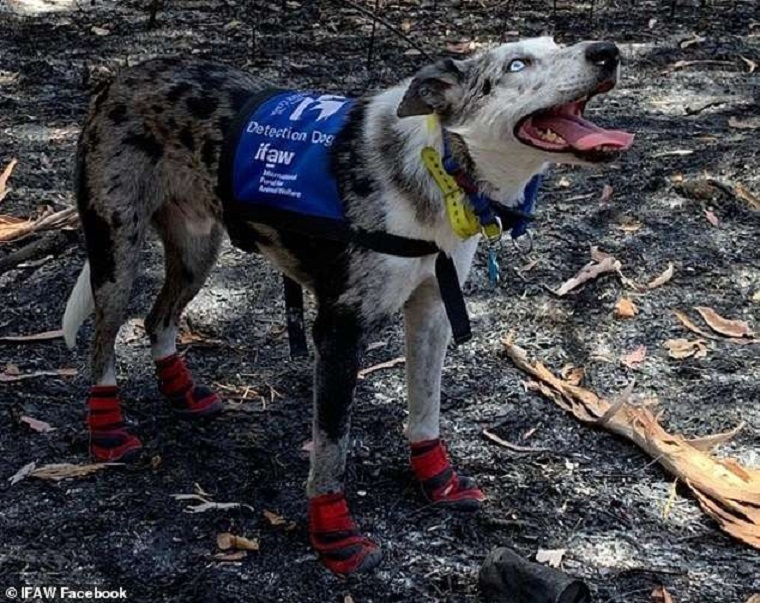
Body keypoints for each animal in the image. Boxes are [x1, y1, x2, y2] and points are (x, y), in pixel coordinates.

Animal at [62, 37, 633, 575]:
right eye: (517, 64)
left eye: (558, 44)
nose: (607, 53)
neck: (440, 168)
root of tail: (122, 77)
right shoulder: (339, 332)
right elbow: (332, 448)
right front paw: (335, 536)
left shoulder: (432, 312)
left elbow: (425, 412)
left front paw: (439, 484)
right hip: (116, 255)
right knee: (102, 343)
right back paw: (107, 430)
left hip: (198, 250)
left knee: (157, 318)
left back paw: (181, 391)